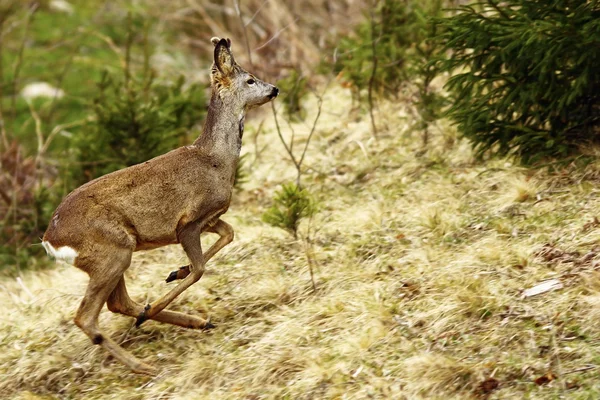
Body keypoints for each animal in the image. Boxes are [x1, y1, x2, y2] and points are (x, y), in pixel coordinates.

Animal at [41, 38, 280, 376]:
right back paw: (145, 361)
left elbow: (229, 234)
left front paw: (175, 272)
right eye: (249, 79)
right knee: (87, 316)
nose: (274, 89)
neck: (216, 160)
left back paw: (191, 321)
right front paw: (172, 283)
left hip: (113, 255)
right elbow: (200, 269)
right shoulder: (188, 222)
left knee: (117, 303)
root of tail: (50, 239)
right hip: (112, 250)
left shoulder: (210, 219)